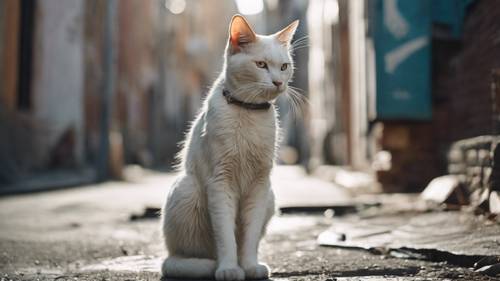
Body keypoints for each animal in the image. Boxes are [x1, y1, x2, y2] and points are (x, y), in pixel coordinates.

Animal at [161, 15, 296, 280]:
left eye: (284, 67)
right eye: (261, 65)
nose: (278, 82)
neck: (248, 112)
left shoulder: (259, 186)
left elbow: (250, 236)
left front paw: (250, 265)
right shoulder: (220, 183)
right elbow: (225, 236)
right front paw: (229, 268)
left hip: (270, 197)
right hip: (187, 188)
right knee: (175, 260)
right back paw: (207, 266)